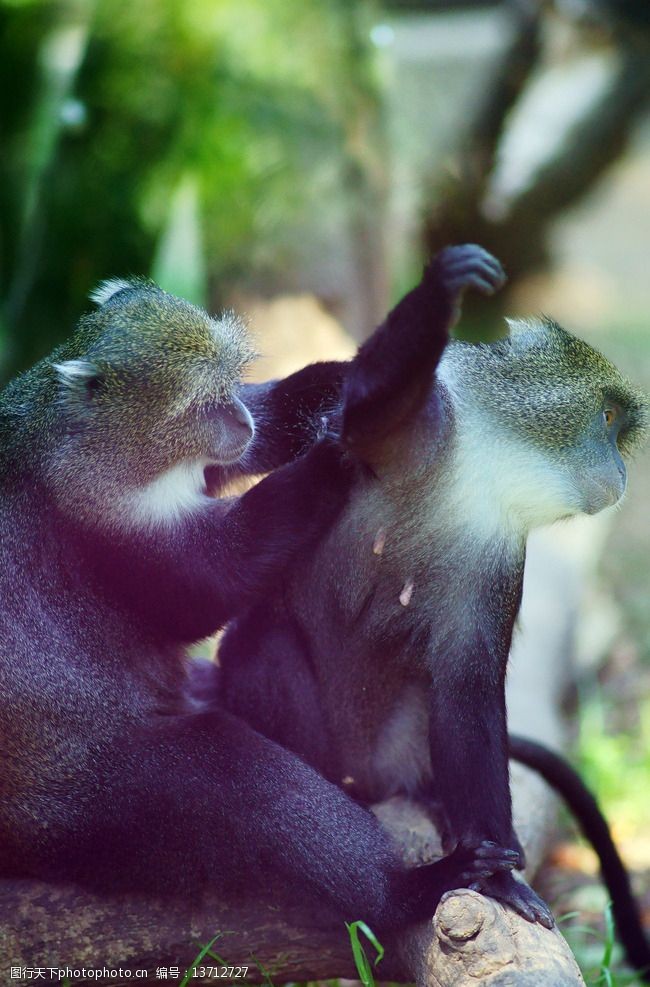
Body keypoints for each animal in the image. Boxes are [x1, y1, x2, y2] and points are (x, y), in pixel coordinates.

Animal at [0, 253, 520, 932]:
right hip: (90, 809)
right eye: (199, 405)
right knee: (235, 780)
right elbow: (206, 589)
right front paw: (331, 457)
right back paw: (403, 891)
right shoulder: (103, 516)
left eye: (227, 385)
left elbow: (269, 430)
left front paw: (402, 341)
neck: (88, 436)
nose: (236, 419)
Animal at [219, 253, 648, 964]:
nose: (621, 472)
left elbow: (467, 688)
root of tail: (368, 772)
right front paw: (441, 291)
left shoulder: (497, 548)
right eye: (609, 418)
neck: (476, 471)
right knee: (266, 642)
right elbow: (363, 409)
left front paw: (498, 879)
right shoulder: (418, 425)